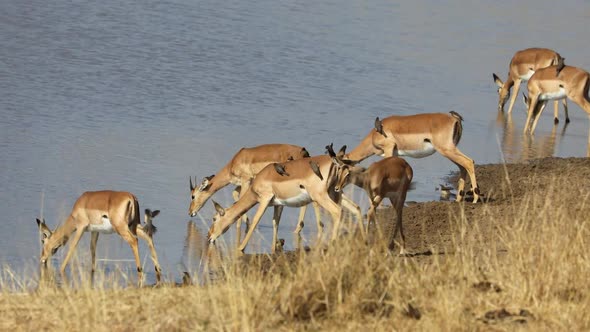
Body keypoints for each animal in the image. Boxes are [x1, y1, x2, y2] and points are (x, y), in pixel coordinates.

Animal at [35, 192, 163, 286]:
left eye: (43, 241)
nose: (42, 258)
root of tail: (132, 197)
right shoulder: (95, 231)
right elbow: (93, 249)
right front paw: (92, 270)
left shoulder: (81, 228)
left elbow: (72, 247)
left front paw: (61, 269)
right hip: (134, 226)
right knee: (148, 237)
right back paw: (158, 271)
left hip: (122, 228)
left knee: (134, 241)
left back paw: (140, 271)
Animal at [188, 143, 322, 241]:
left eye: (193, 196)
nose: (190, 212)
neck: (235, 162)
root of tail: (304, 152)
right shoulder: (245, 183)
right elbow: (235, 194)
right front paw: (247, 223)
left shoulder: (246, 180)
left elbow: (240, 197)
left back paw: (299, 229)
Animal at [208, 154, 366, 253]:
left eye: (214, 218)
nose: (209, 236)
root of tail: (333, 162)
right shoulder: (279, 204)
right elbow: (275, 223)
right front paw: (273, 249)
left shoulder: (264, 200)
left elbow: (254, 222)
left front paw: (240, 248)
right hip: (336, 193)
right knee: (357, 208)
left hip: (321, 197)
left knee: (337, 211)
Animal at [346, 112, 480, 202]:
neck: (375, 134)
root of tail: (454, 118)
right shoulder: (395, 154)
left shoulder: (389, 150)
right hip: (450, 152)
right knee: (463, 167)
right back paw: (458, 199)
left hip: (447, 150)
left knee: (469, 162)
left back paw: (475, 199)